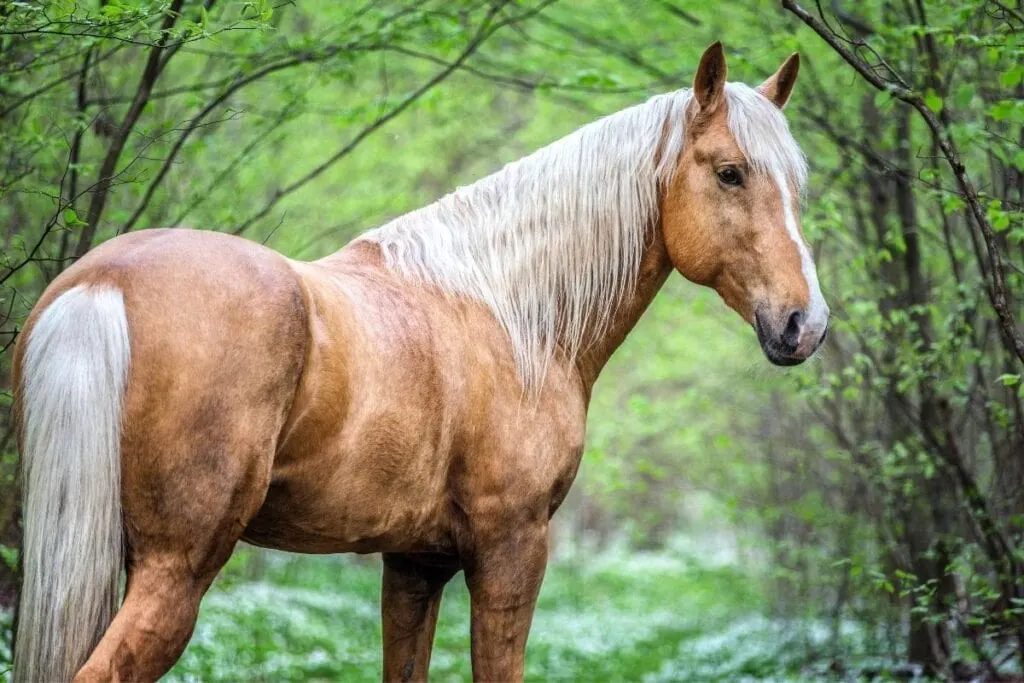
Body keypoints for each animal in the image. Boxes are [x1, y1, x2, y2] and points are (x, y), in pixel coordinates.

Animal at [12, 41, 831, 679]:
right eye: (729, 172)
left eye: (798, 182)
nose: (806, 323)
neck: (511, 313)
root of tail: (103, 281)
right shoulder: (511, 549)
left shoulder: (414, 563)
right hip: (176, 569)